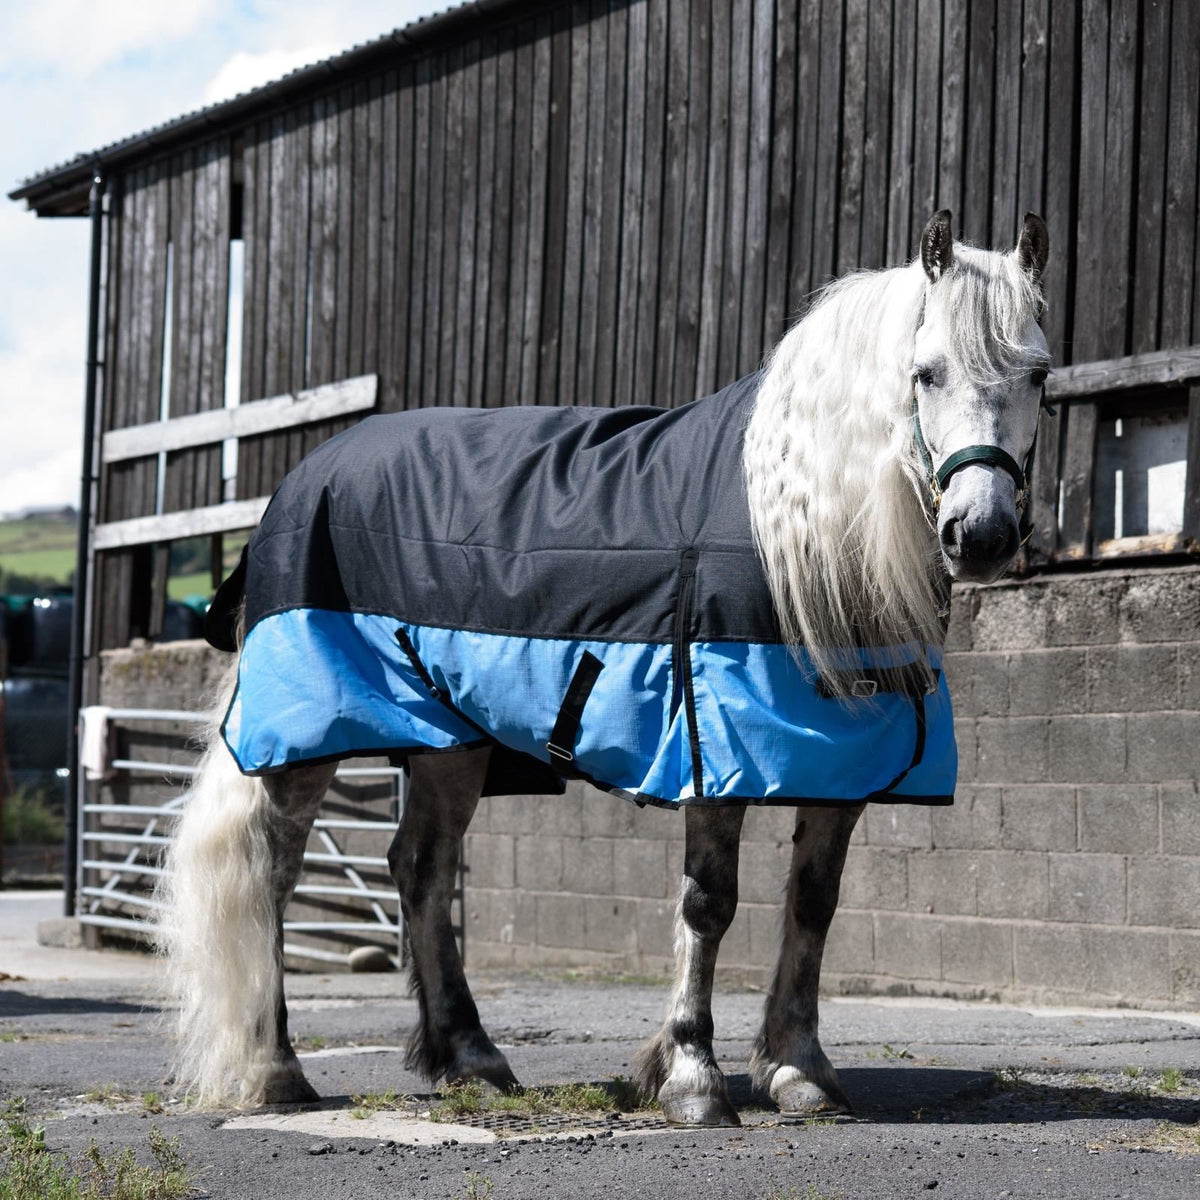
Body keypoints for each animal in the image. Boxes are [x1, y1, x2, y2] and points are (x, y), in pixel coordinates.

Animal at [155, 210, 1051, 1126]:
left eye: (1040, 374)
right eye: (926, 373)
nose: (980, 534)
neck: (791, 537)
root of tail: (308, 471)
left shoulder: (840, 764)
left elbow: (813, 903)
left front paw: (798, 1069)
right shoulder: (709, 748)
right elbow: (709, 902)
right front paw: (692, 1075)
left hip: (451, 739)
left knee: (422, 868)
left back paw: (471, 1058)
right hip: (308, 735)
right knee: (272, 870)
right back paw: (276, 1070)